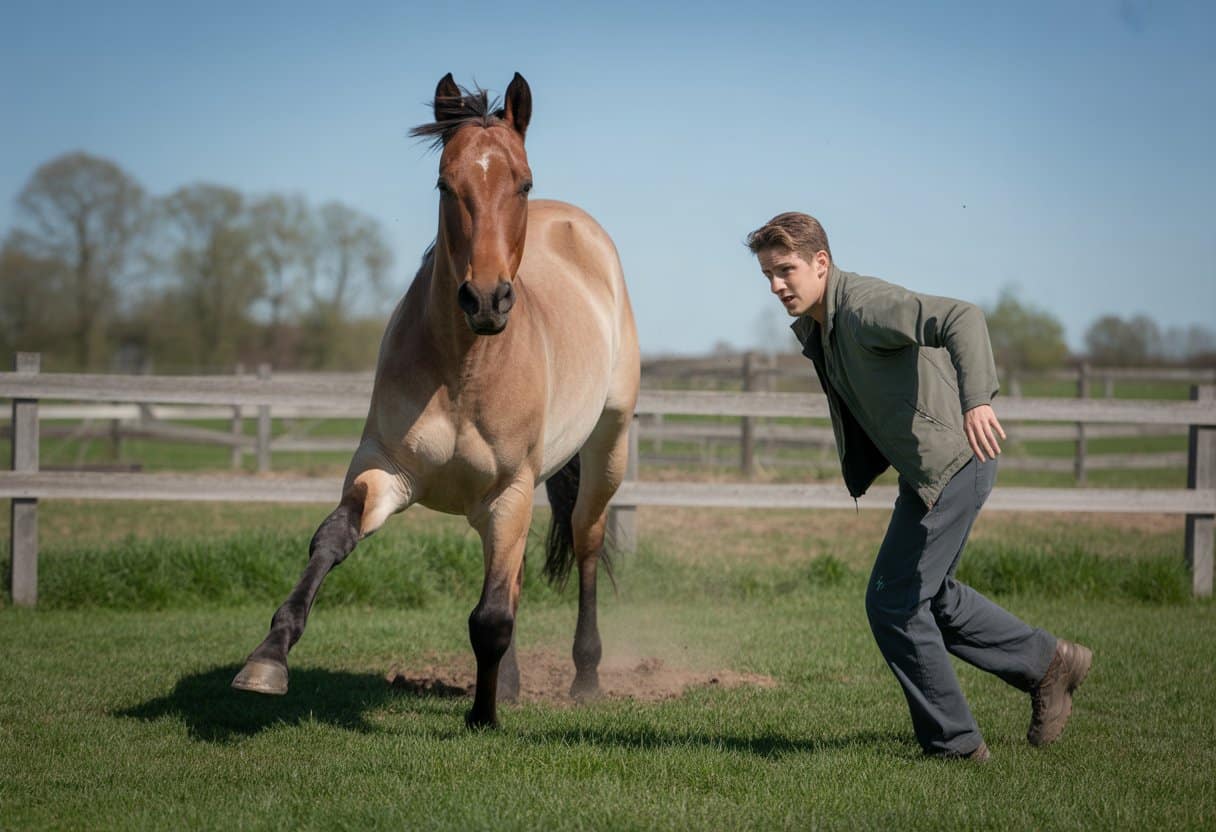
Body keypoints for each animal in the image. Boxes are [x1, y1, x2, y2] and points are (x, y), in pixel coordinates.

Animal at [232, 72, 641, 729]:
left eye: (523, 182)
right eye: (447, 184)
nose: (486, 299)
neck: (463, 373)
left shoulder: (509, 492)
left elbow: (491, 617)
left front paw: (482, 718)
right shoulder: (388, 469)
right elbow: (332, 539)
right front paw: (268, 658)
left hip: (607, 445)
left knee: (585, 541)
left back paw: (585, 676)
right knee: (514, 576)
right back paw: (514, 683)